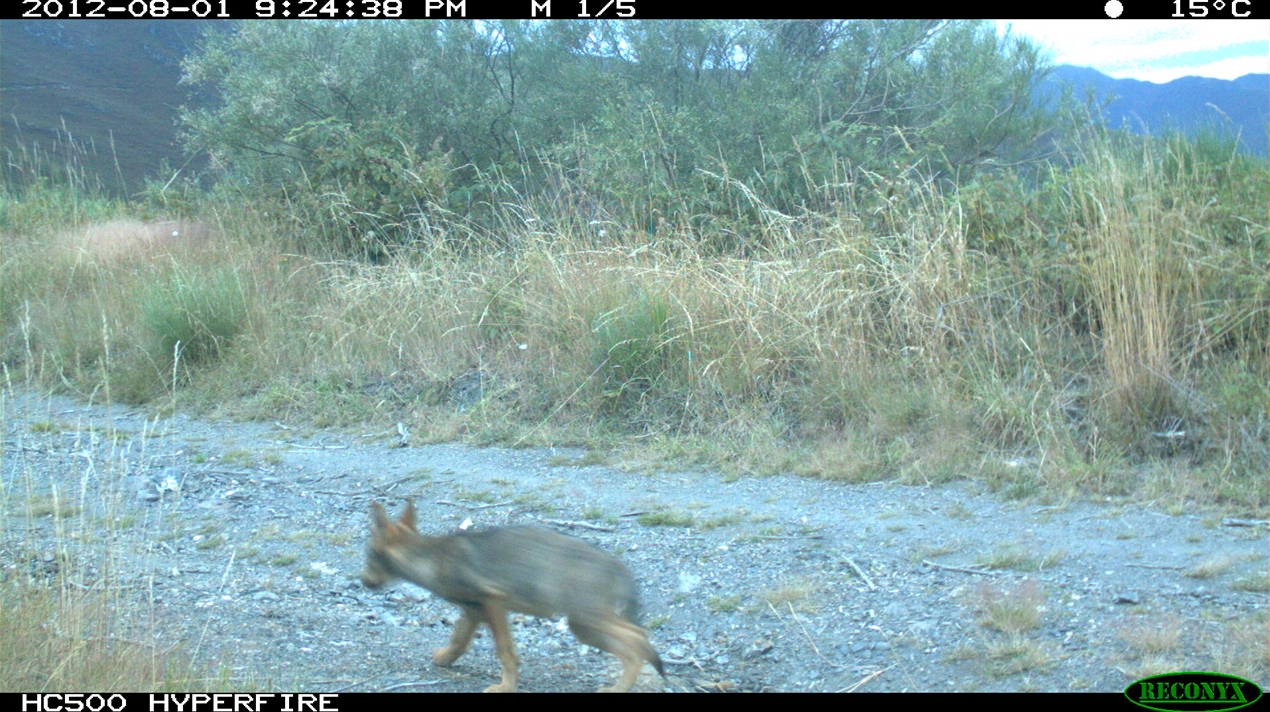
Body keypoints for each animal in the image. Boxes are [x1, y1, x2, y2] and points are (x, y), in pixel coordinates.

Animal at [360, 500, 664, 692]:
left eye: (368, 555)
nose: (362, 581)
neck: (432, 561)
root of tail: (619, 566)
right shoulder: (473, 610)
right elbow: (458, 641)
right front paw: (443, 660)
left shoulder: (494, 602)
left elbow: (505, 652)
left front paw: (505, 687)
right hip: (584, 628)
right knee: (635, 645)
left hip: (589, 621)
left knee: (639, 639)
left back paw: (620, 687)